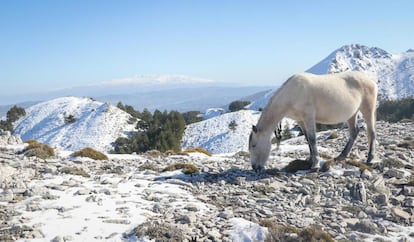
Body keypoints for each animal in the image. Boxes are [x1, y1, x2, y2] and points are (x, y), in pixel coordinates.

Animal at [249, 71, 378, 172]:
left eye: (254, 145)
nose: (255, 168)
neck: (292, 93)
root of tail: (371, 80)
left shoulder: (309, 116)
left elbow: (312, 139)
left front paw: (315, 164)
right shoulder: (300, 120)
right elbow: (307, 139)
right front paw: (310, 160)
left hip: (367, 107)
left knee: (371, 132)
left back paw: (370, 159)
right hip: (352, 113)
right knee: (354, 132)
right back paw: (342, 156)